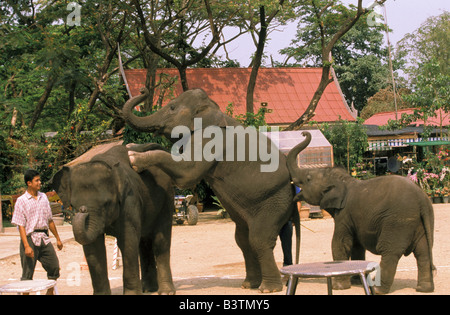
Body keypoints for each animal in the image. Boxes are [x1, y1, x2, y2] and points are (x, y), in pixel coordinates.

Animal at [50, 144, 174, 296]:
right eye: (73, 205)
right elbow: (93, 247)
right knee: (144, 243)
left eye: (107, 203)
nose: (83, 210)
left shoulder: (130, 200)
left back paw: (165, 292)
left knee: (160, 241)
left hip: (167, 198)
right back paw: (148, 290)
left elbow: (128, 242)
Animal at [121, 87, 300, 294]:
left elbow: (187, 172)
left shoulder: (208, 138)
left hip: (274, 201)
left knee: (259, 239)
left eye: (172, 107)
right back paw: (249, 284)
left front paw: (133, 158)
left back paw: (268, 288)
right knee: (243, 240)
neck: (213, 109)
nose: (143, 90)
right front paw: (131, 148)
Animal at [286, 132, 434, 296]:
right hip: (421, 221)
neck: (343, 180)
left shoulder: (344, 214)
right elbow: (357, 245)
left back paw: (378, 289)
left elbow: (340, 243)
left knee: (390, 252)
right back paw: (424, 289)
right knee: (423, 252)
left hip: (398, 221)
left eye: (308, 179)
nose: (303, 133)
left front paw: (339, 287)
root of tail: (422, 199)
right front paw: (355, 281)